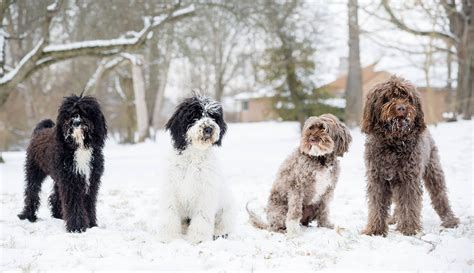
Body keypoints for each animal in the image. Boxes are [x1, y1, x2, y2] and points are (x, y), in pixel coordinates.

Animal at [18, 94, 107, 232]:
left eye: (85, 112)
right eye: (69, 113)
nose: (76, 122)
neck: (79, 147)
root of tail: (39, 131)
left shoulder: (90, 180)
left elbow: (89, 203)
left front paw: (91, 224)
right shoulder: (71, 182)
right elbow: (73, 203)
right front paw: (77, 227)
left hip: (57, 177)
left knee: (55, 196)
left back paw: (57, 215)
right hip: (34, 172)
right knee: (31, 192)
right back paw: (28, 216)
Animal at [157, 93, 233, 242]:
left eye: (213, 117)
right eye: (194, 116)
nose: (208, 128)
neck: (193, 158)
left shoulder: (205, 193)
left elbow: (202, 217)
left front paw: (199, 238)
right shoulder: (171, 189)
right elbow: (170, 213)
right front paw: (169, 237)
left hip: (225, 209)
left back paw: (219, 233)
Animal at [362, 75, 460, 236]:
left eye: (407, 97)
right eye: (388, 97)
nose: (401, 108)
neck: (393, 143)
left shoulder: (409, 178)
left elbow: (409, 203)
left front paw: (409, 229)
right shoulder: (378, 178)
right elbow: (377, 204)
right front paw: (375, 229)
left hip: (433, 172)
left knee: (440, 196)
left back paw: (450, 220)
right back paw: (394, 219)